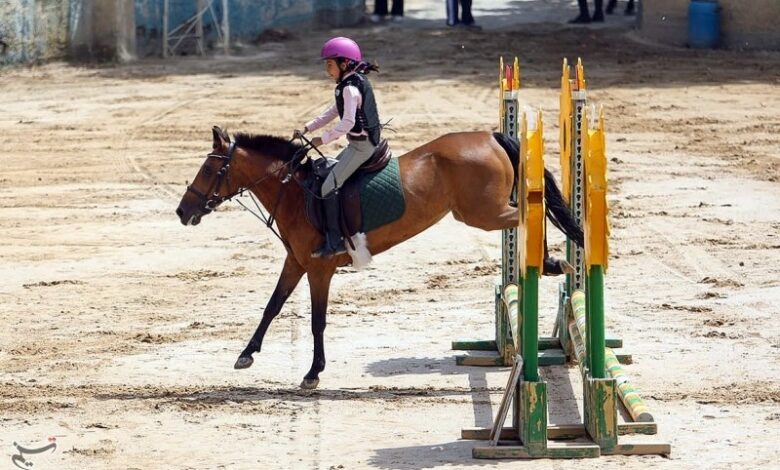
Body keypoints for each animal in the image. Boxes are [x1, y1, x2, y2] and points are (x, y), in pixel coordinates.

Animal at [175, 126, 580, 390]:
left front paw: (313, 373)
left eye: (209, 169)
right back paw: (551, 262)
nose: (182, 212)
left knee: (533, 212)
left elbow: (316, 322)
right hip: (484, 212)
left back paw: (549, 261)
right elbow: (272, 306)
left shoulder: (319, 269)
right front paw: (246, 354)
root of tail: (490, 136)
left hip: (484, 214)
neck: (294, 193)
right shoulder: (296, 263)